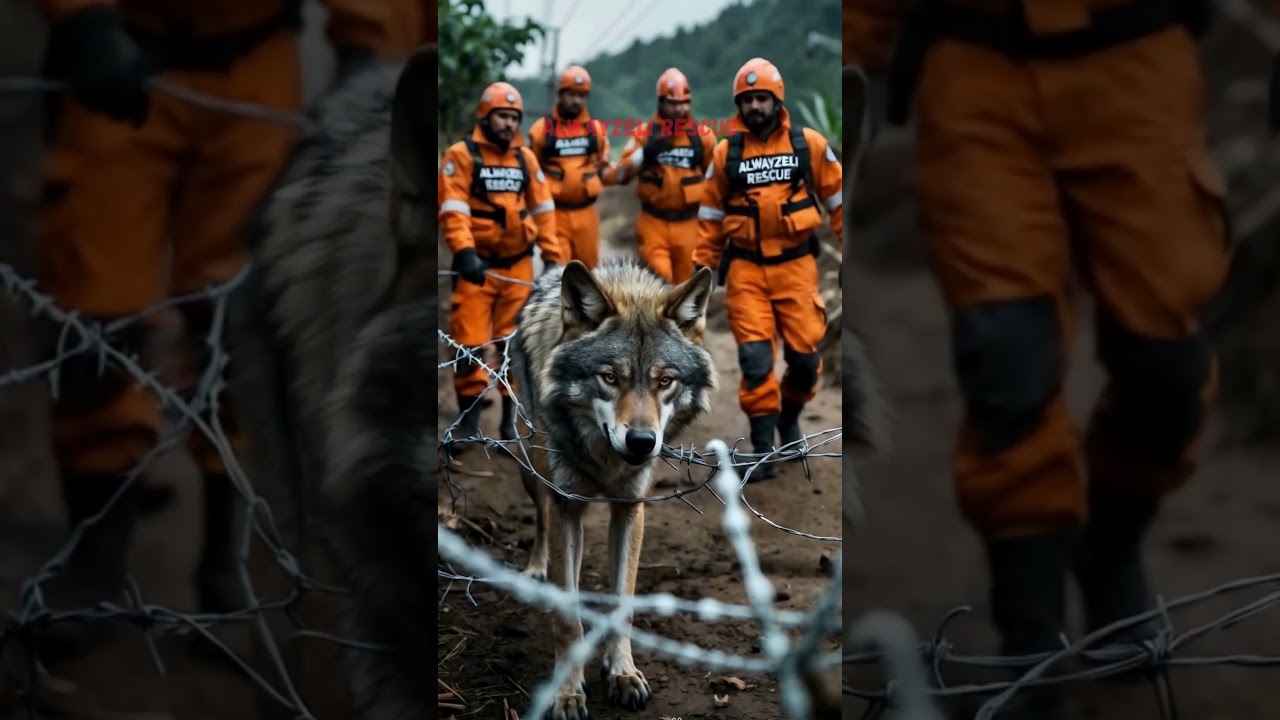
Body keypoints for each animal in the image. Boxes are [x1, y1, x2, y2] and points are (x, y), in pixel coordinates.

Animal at [508, 259, 717, 718]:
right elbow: (567, 618)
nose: (641, 441)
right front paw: (568, 692)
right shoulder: (565, 504)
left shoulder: (630, 508)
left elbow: (622, 602)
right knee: (542, 523)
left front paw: (622, 674)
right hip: (531, 471)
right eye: (609, 378)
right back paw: (537, 569)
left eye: (664, 381)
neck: (605, 459)